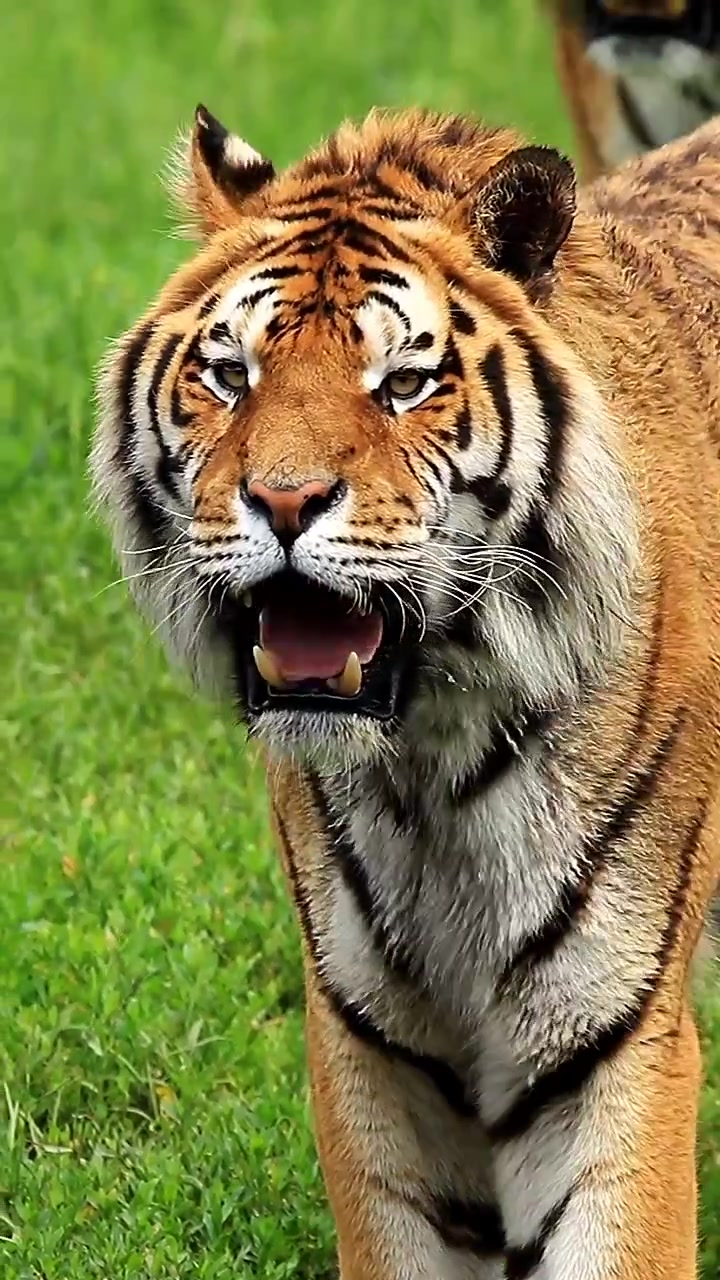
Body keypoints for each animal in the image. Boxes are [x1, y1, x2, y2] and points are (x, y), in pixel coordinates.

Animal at [90, 103, 720, 1278]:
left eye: (405, 384)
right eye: (231, 374)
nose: (283, 499)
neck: (436, 755)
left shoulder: (607, 1030)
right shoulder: (369, 1033)